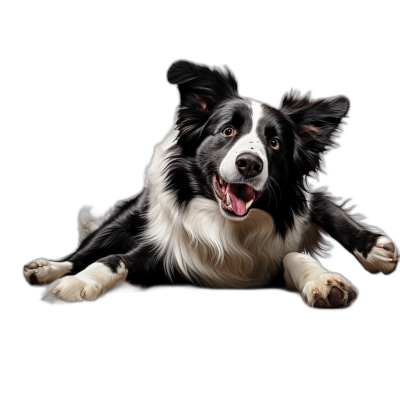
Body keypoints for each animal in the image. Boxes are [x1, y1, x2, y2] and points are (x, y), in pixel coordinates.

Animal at [22, 60, 400, 310]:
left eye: (274, 143)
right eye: (227, 131)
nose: (250, 164)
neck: (230, 225)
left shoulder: (297, 215)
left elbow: (307, 236)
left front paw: (331, 276)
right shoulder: (168, 252)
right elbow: (113, 259)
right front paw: (76, 283)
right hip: (126, 218)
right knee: (86, 249)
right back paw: (47, 269)